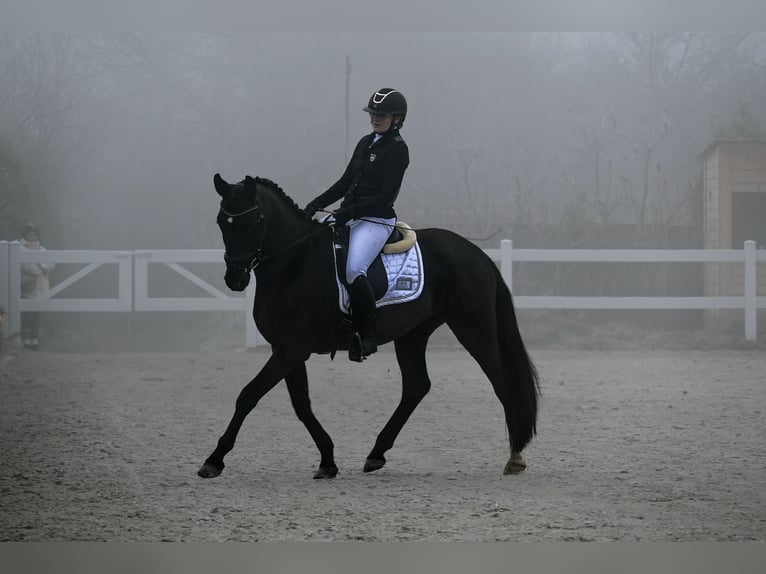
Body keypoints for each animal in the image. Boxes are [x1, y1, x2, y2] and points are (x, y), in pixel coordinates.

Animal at [198, 174, 540, 480]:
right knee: (416, 386)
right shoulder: (288, 349)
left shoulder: (291, 348)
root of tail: (477, 254)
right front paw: (327, 460)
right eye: (221, 221)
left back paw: (515, 457)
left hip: (473, 328)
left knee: (500, 381)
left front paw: (214, 460)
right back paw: (376, 454)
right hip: (413, 334)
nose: (235, 277)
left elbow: (249, 395)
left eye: (254, 221)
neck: (295, 263)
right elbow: (301, 405)